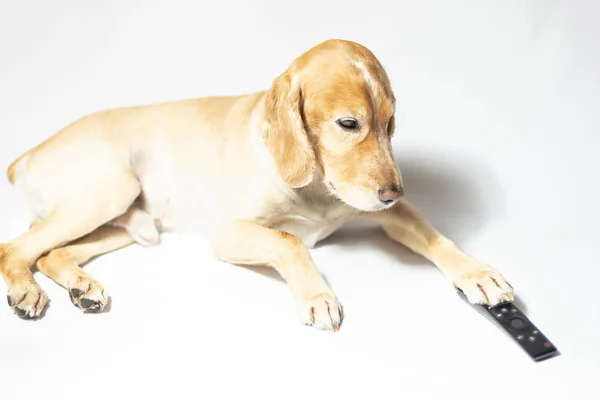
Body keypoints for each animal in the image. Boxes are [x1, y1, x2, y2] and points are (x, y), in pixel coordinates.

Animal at [1, 39, 516, 330]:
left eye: (390, 125)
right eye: (349, 123)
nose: (394, 193)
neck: (318, 186)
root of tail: (28, 154)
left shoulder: (394, 216)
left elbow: (437, 236)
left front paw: (477, 272)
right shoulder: (228, 233)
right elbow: (290, 240)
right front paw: (318, 296)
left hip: (130, 225)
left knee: (51, 253)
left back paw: (82, 287)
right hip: (108, 192)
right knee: (16, 249)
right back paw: (27, 292)